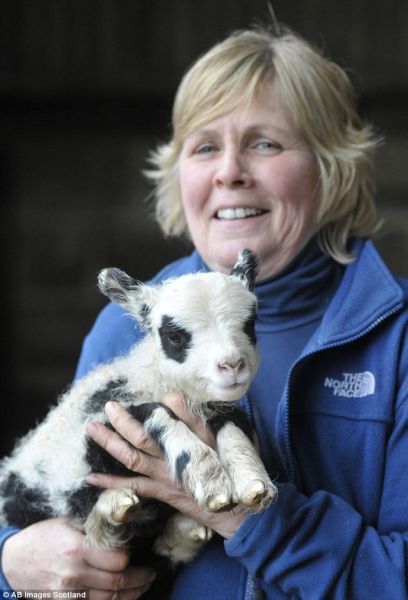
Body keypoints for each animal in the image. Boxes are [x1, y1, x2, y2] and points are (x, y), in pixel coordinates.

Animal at [0, 249, 277, 564]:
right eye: (175, 336)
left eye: (250, 325)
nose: (232, 365)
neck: (155, 379)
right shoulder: (105, 417)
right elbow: (156, 412)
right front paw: (210, 480)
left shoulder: (216, 406)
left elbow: (233, 427)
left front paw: (253, 481)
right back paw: (113, 510)